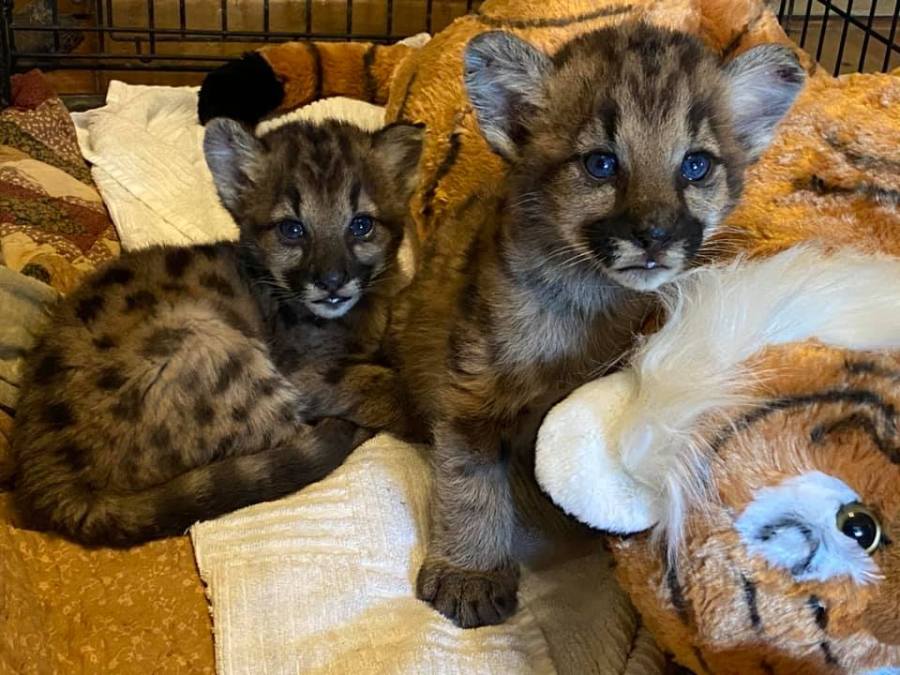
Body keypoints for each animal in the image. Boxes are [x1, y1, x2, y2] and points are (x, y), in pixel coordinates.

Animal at [11, 117, 426, 548]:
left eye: (361, 225)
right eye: (292, 229)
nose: (331, 282)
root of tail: (46, 474)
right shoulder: (302, 372)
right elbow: (375, 383)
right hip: (212, 347)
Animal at [398, 23, 804, 632]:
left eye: (696, 165)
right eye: (601, 164)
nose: (654, 234)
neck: (591, 297)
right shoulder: (472, 392)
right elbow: (469, 485)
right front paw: (469, 574)